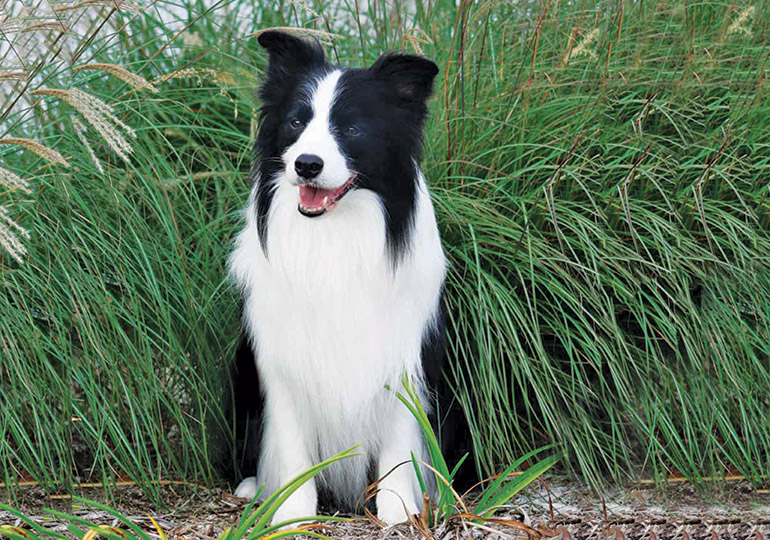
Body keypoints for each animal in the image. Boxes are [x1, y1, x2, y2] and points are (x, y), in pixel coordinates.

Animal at [228, 31, 456, 524]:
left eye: (351, 130)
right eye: (296, 122)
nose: (306, 164)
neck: (334, 236)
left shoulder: (403, 353)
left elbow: (399, 442)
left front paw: (397, 510)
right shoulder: (282, 358)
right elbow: (292, 443)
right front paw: (293, 512)